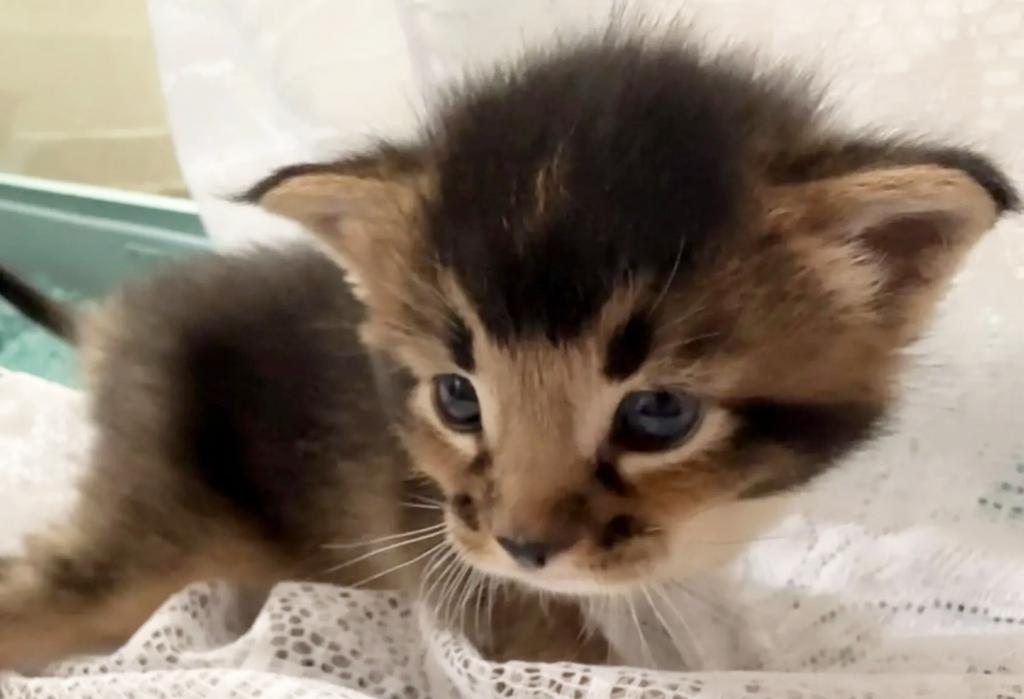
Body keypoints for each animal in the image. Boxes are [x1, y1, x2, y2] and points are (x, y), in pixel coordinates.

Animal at [0, 33, 1017, 670]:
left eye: (659, 413)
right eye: (458, 396)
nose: (524, 544)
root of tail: (120, 320)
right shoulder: (480, 589)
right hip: (154, 525)